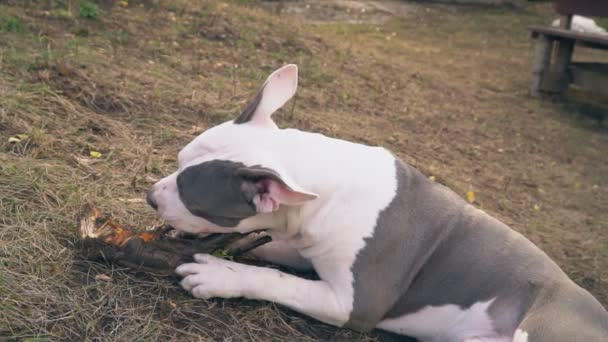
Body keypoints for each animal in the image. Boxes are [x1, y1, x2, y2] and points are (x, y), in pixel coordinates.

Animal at [147, 65, 608, 342]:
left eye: (192, 197)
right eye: (178, 161)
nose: (151, 197)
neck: (324, 184)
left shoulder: (353, 303)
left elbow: (277, 280)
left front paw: (219, 274)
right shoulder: (303, 244)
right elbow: (272, 250)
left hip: (547, 323)